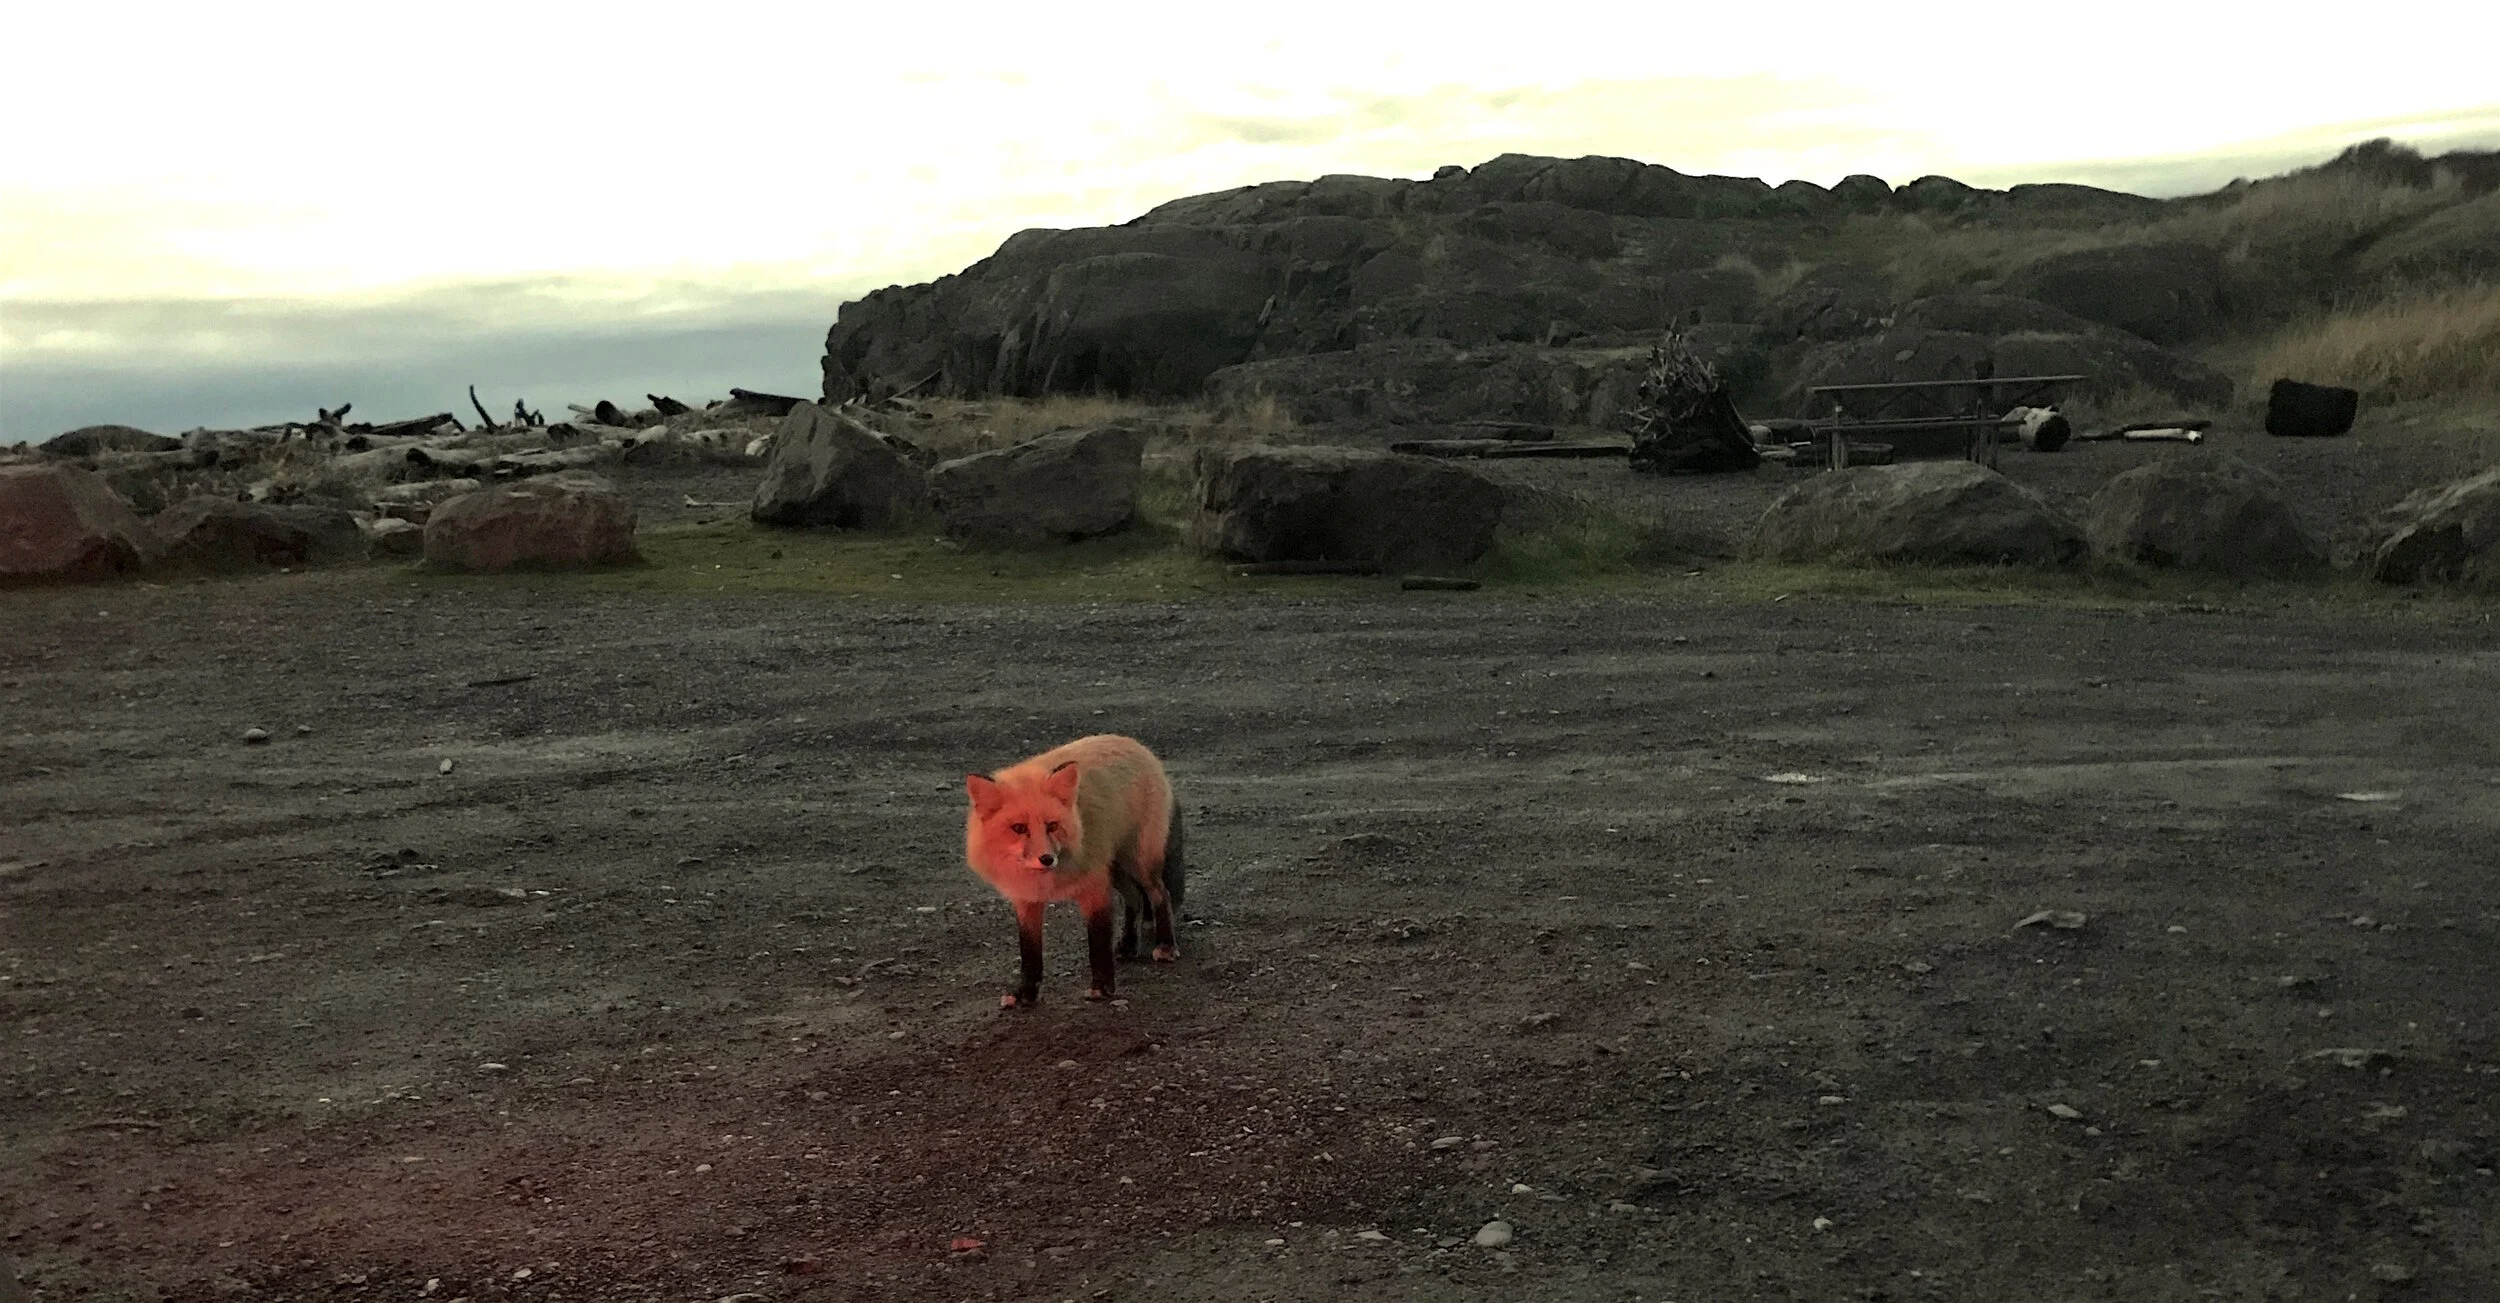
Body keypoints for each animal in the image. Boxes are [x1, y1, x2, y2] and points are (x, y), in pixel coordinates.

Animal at [963, 734, 1186, 1008]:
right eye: (1019, 828)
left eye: (1052, 825)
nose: (1046, 859)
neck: (1046, 881)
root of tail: (1134, 743)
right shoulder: (1027, 900)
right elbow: (1030, 953)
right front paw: (1026, 993)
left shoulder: (1095, 888)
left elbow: (1098, 942)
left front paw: (1101, 987)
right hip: (1115, 870)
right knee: (1134, 898)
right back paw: (1128, 945)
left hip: (1138, 861)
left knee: (1159, 894)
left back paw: (1165, 944)